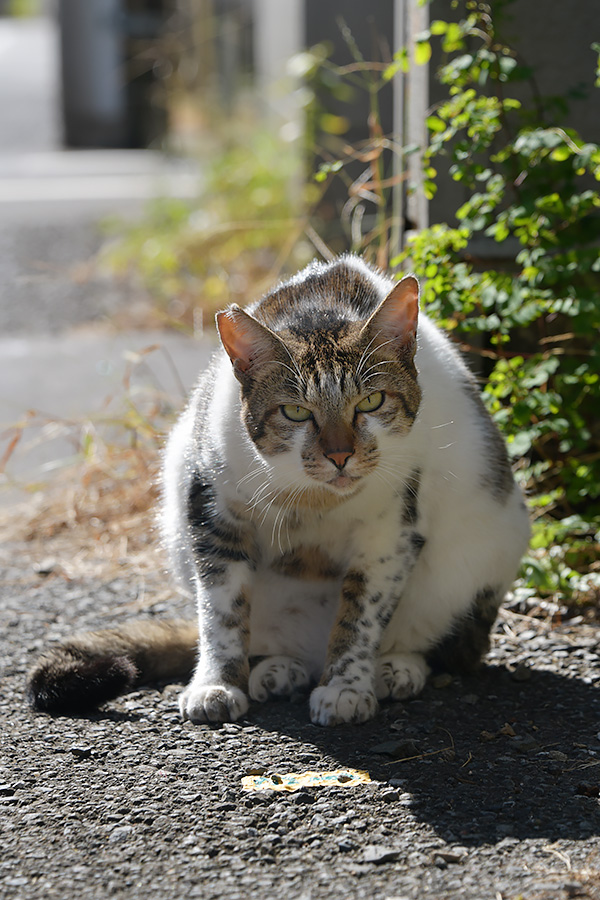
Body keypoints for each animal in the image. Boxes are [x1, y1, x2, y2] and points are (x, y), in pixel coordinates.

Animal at [27, 253, 528, 724]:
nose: (340, 455)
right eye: (295, 412)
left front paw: (346, 687)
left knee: (453, 648)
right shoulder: (211, 512)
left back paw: (395, 668)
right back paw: (277, 668)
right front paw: (217, 685)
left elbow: (360, 616)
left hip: (483, 553)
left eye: (371, 401)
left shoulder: (390, 535)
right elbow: (221, 613)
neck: (313, 498)